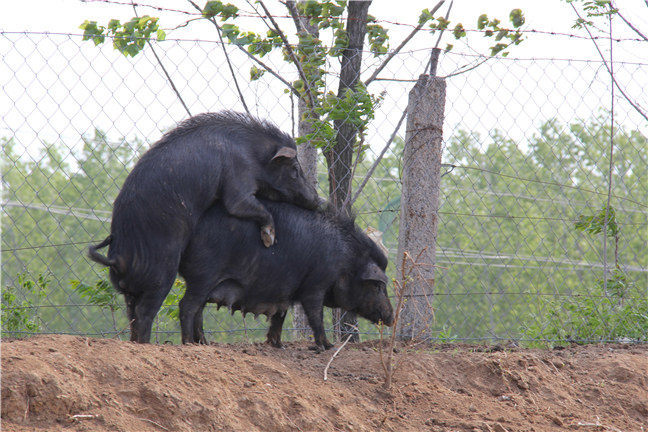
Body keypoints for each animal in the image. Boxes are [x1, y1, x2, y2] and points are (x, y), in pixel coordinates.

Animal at [87, 112, 320, 344]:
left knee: (132, 313)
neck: (254, 154)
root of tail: (118, 259)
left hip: (129, 289)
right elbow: (245, 205)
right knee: (147, 311)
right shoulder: (238, 183)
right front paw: (269, 239)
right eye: (295, 170)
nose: (318, 200)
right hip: (161, 273)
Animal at [175, 201, 392, 352]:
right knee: (187, 306)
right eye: (378, 286)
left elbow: (280, 316)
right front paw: (327, 346)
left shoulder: (285, 292)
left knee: (198, 310)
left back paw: (203, 343)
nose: (391, 317)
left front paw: (278, 345)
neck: (346, 260)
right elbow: (316, 316)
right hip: (203, 276)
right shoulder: (315, 285)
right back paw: (189, 343)